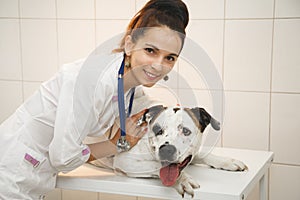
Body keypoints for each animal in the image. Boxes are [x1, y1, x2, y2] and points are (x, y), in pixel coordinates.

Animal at [89, 105, 248, 198]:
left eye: (185, 131)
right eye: (157, 130)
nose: (166, 150)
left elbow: (202, 155)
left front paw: (228, 161)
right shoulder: (125, 161)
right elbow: (157, 166)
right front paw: (183, 179)